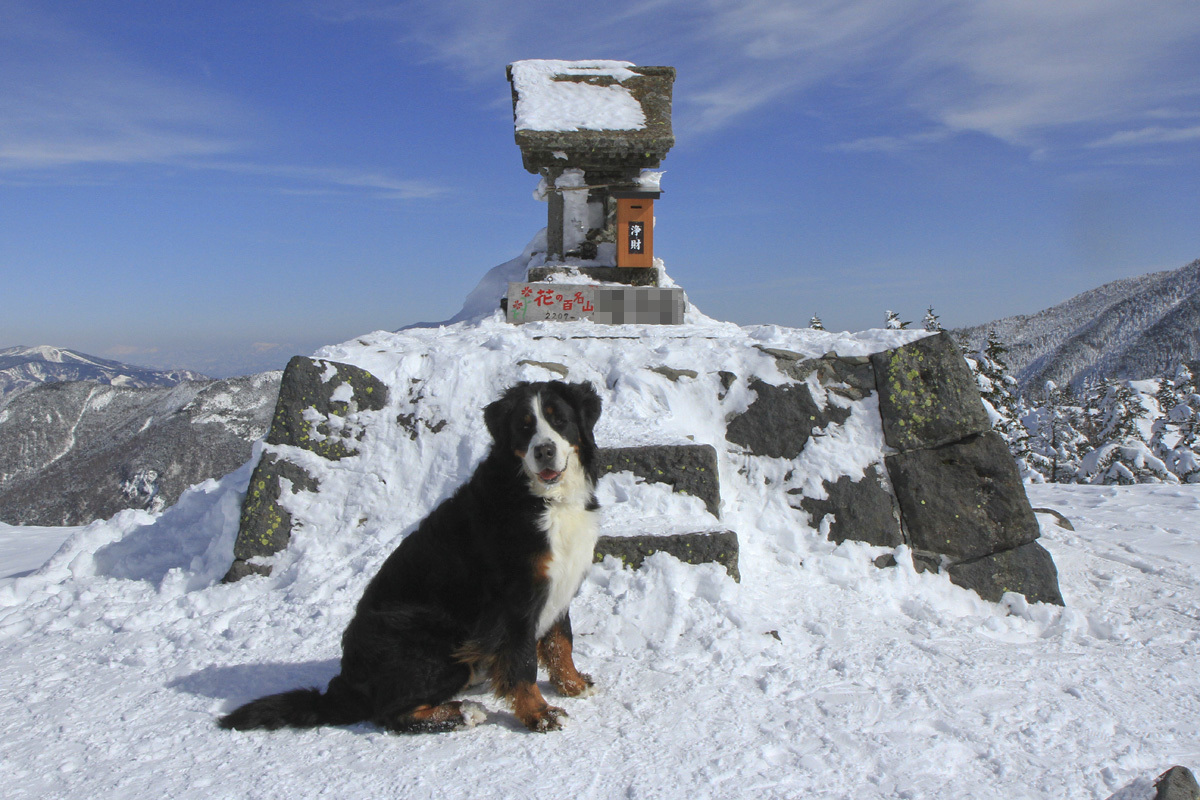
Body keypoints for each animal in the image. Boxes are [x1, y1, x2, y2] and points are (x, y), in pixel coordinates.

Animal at [218, 379, 600, 734]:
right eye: (524, 426)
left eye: (560, 420)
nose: (545, 451)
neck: (545, 499)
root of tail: (345, 683)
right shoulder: (515, 601)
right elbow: (522, 664)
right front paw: (540, 714)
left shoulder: (559, 580)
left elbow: (561, 642)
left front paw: (572, 683)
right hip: (435, 642)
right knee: (391, 713)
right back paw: (462, 712)